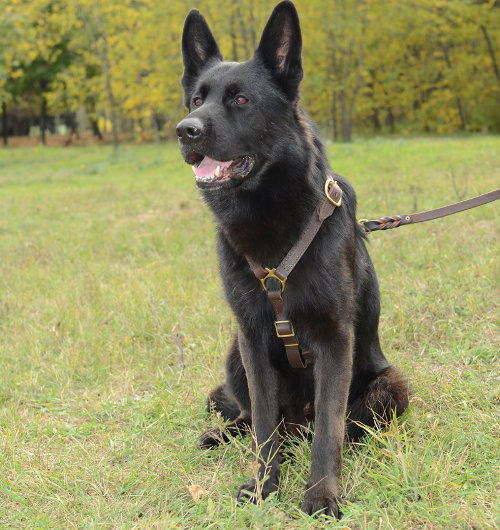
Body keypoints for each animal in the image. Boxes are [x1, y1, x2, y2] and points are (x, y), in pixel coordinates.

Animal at [178, 2, 408, 516]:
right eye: (196, 100)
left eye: (241, 100)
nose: (186, 131)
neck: (270, 219)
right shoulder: (253, 338)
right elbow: (263, 423)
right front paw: (264, 485)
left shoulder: (334, 339)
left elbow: (330, 428)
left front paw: (321, 494)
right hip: (235, 354)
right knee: (257, 421)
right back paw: (225, 434)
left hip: (390, 386)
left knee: (340, 424)